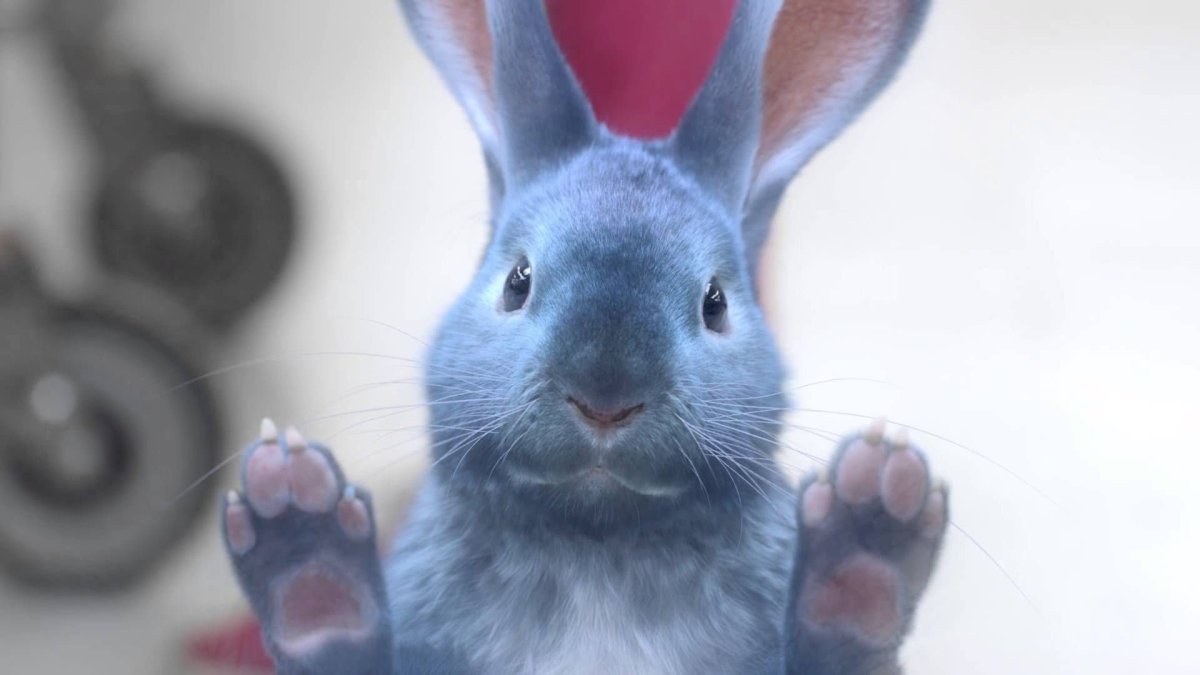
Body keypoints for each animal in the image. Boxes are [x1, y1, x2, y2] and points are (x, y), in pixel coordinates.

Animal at [219, 0, 947, 673]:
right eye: (517, 281)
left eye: (714, 302)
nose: (605, 397)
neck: (595, 548)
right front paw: (294, 515)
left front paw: (877, 505)